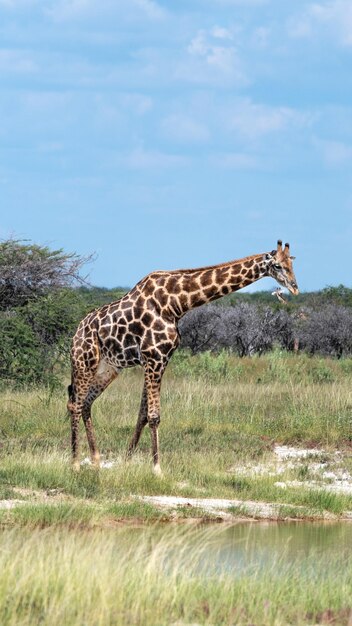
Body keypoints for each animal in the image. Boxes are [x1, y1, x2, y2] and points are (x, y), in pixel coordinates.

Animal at [68, 241, 296, 470]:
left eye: (292, 263)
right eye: (277, 265)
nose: (294, 286)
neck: (176, 304)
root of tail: (77, 332)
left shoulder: (159, 360)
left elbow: (142, 415)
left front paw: (127, 461)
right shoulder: (154, 357)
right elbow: (153, 416)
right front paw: (157, 469)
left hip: (109, 368)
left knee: (86, 403)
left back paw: (96, 459)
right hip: (84, 362)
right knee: (74, 404)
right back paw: (75, 463)